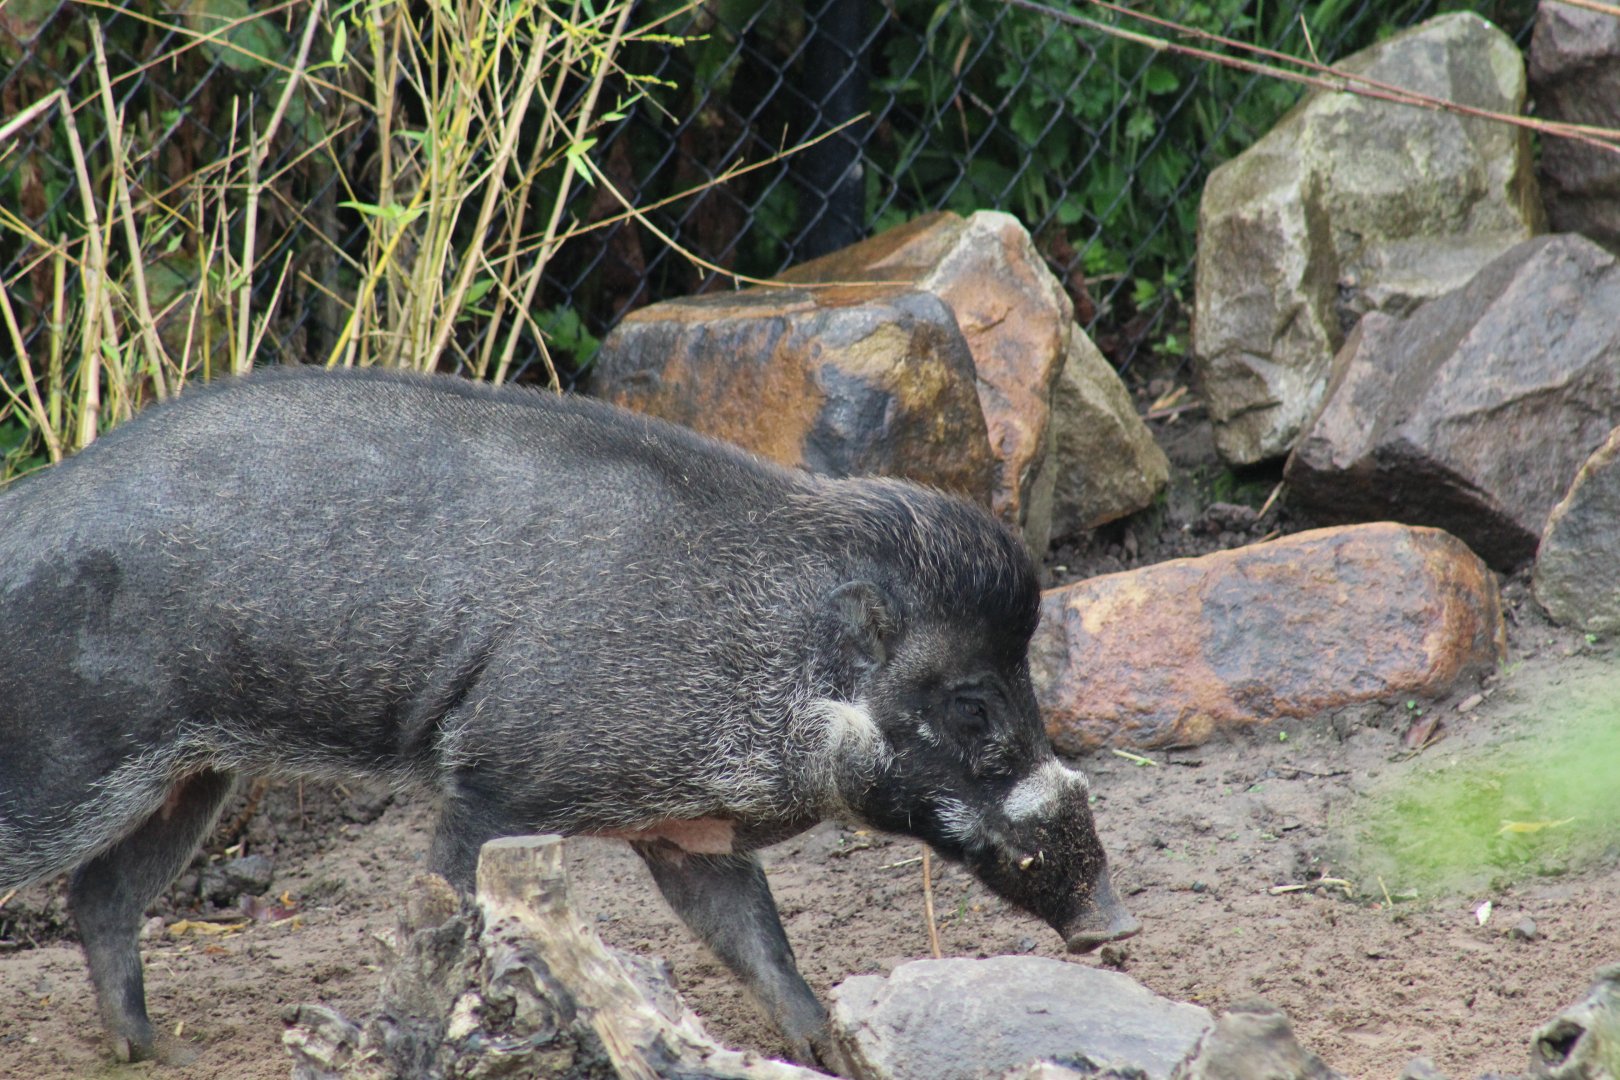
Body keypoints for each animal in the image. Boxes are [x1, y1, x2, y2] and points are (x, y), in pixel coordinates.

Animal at [0, 367, 1138, 1067]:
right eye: (973, 705)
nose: (1115, 925)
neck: (771, 662)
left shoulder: (691, 836)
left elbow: (763, 953)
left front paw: (828, 1053)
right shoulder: (494, 782)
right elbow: (447, 918)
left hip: (194, 774)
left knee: (102, 894)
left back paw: (156, 1053)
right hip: (63, 765)